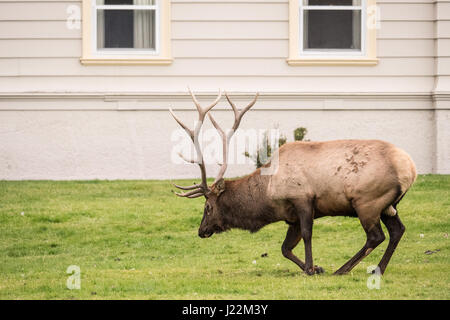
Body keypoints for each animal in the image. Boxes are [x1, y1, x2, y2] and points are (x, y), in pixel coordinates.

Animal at [170, 89, 418, 276]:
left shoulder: (303, 199)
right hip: (388, 205)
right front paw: (316, 267)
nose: (201, 231)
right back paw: (378, 269)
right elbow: (285, 248)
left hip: (367, 201)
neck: (268, 194)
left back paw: (342, 269)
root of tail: (410, 169)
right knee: (398, 230)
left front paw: (310, 268)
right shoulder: (291, 217)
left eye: (208, 207)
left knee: (376, 236)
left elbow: (307, 235)